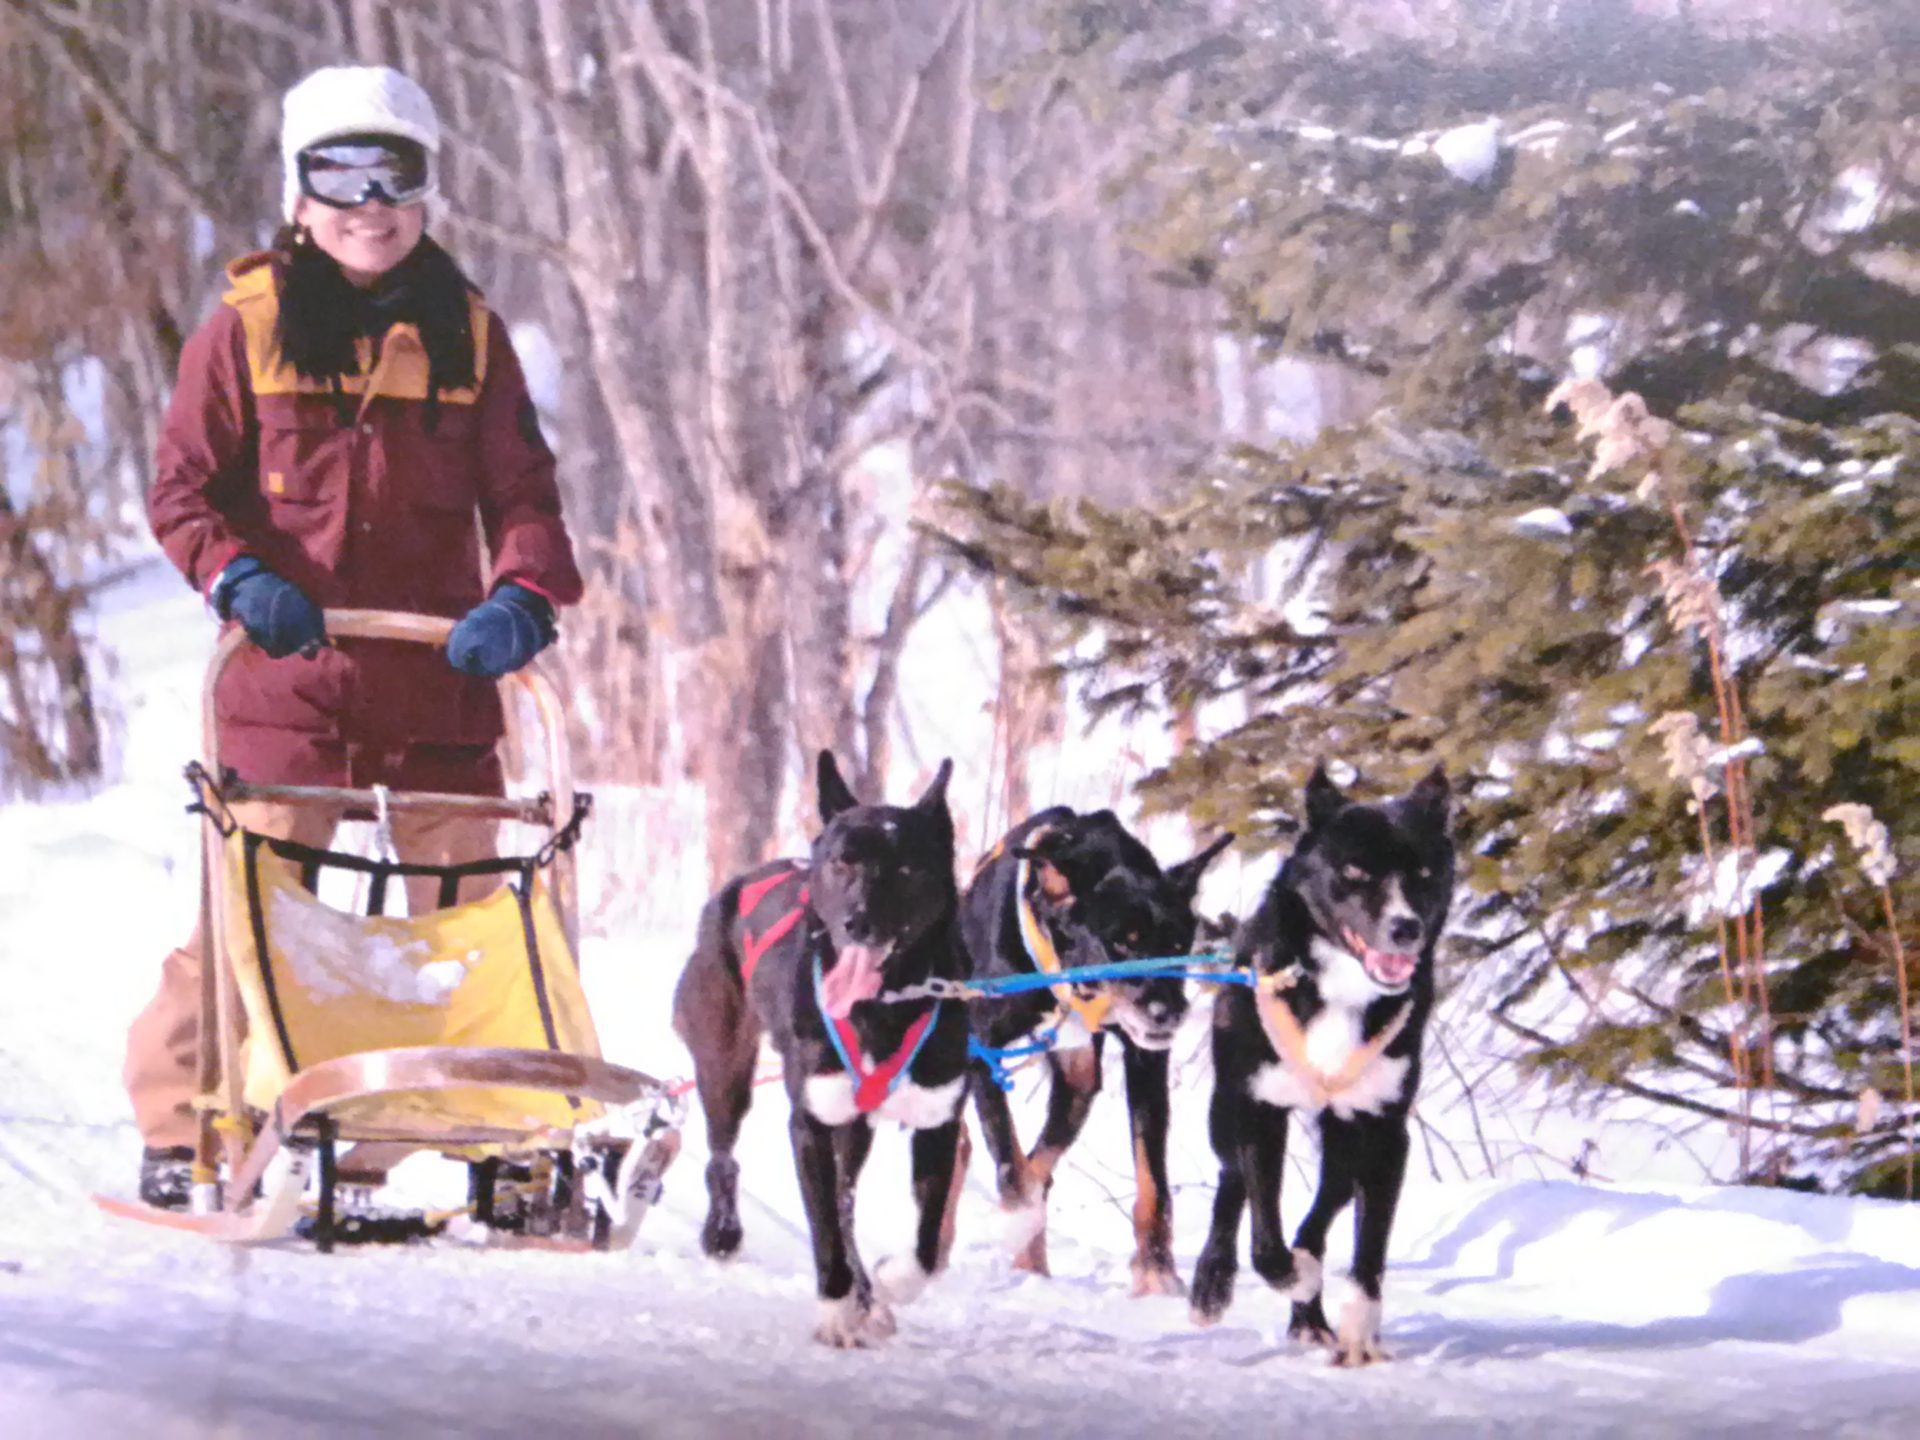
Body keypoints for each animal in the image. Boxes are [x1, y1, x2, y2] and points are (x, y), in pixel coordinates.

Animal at [675, 756, 975, 1351]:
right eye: (842, 863)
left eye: (907, 870)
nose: (858, 921)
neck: (883, 1007)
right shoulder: (811, 1123)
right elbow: (826, 1232)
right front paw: (837, 1310)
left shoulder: (938, 1122)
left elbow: (926, 1246)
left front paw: (889, 1282)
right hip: (725, 1068)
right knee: (724, 1157)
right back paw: (723, 1232)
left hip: (853, 1127)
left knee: (846, 1199)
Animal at [1182, 760, 1451, 1367]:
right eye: (1354, 871)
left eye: (1424, 872)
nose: (1406, 928)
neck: (1341, 990)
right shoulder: (1260, 1110)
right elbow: (1264, 1239)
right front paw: (1291, 1278)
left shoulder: (1383, 1129)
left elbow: (1368, 1250)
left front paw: (1357, 1329)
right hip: (1225, 1109)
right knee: (1233, 1182)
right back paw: (1214, 1283)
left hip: (1344, 1135)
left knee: (1324, 1208)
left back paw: (1310, 1315)